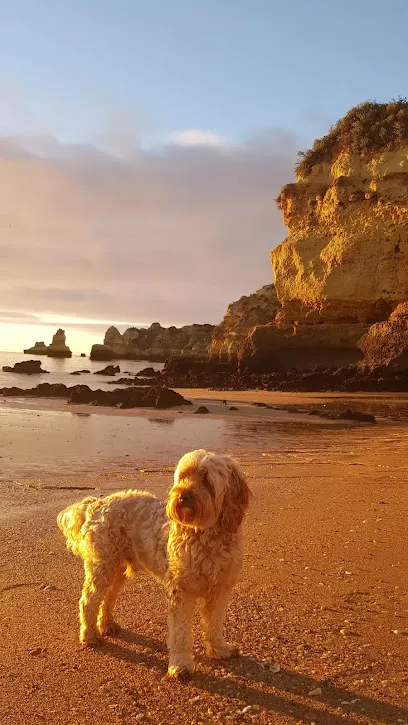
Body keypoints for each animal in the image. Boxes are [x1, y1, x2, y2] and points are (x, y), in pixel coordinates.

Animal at [56, 446, 250, 680]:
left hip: (117, 569)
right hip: (102, 565)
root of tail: (98, 503)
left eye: (206, 480)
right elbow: (180, 632)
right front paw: (180, 666)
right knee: (88, 601)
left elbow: (214, 623)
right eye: (183, 477)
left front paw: (219, 649)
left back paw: (107, 625)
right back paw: (90, 635)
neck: (204, 535)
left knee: (108, 597)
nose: (182, 496)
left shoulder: (220, 589)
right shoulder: (181, 591)